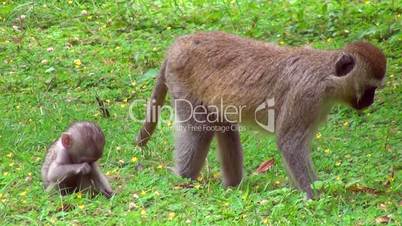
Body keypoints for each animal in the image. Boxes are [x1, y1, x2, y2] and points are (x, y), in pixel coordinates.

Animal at [135, 31, 386, 198]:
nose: (369, 101)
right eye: (369, 88)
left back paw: (233, 185)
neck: (326, 76)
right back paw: (184, 180)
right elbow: (290, 142)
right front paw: (314, 197)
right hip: (182, 81)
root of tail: (180, 43)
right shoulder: (306, 96)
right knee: (200, 130)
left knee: (224, 126)